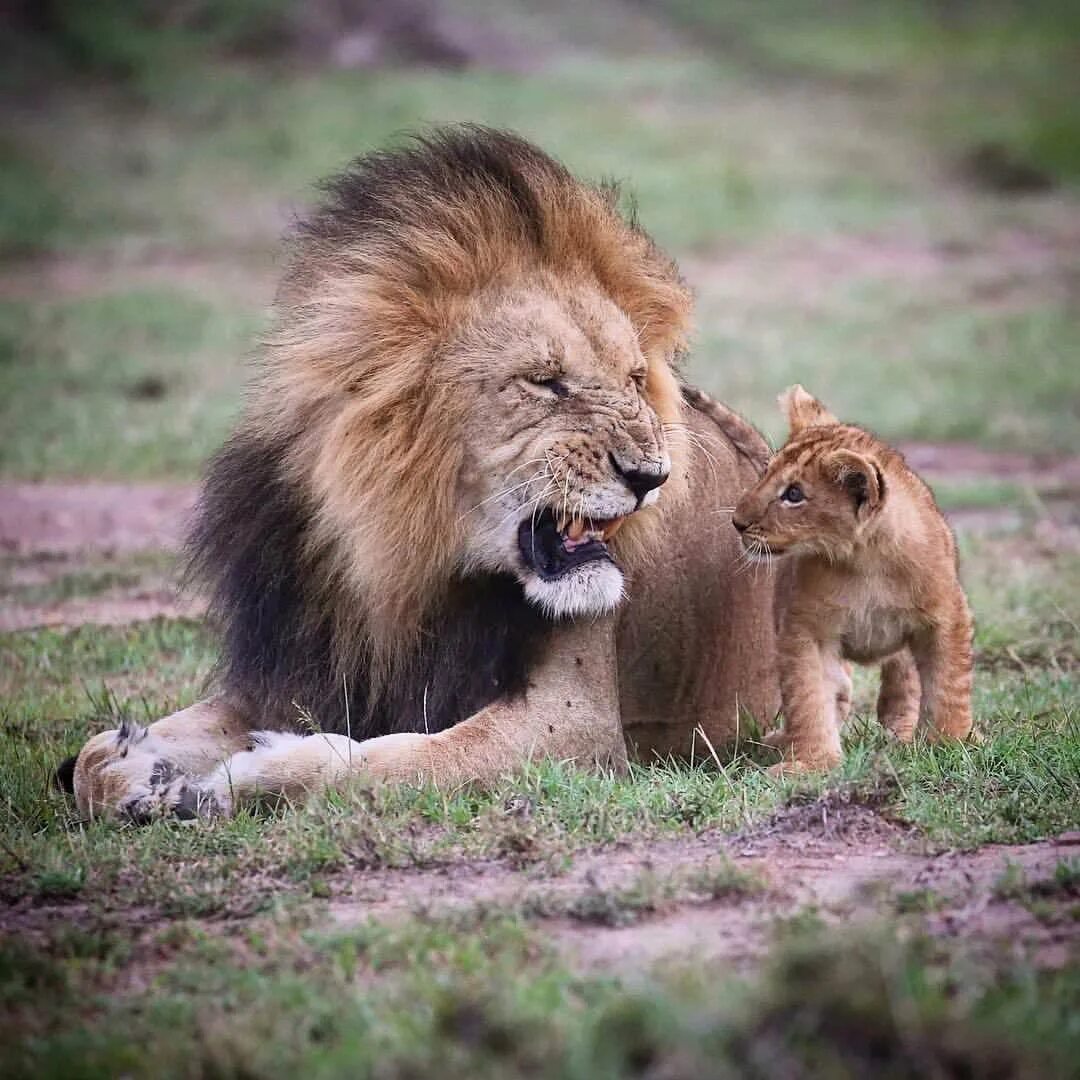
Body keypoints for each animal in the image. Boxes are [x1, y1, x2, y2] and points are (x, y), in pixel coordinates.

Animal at [69, 126, 786, 816]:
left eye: (635, 380)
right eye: (546, 382)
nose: (651, 477)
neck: (407, 570)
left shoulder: (579, 725)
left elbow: (379, 762)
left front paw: (237, 779)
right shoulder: (291, 676)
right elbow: (87, 760)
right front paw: (140, 767)